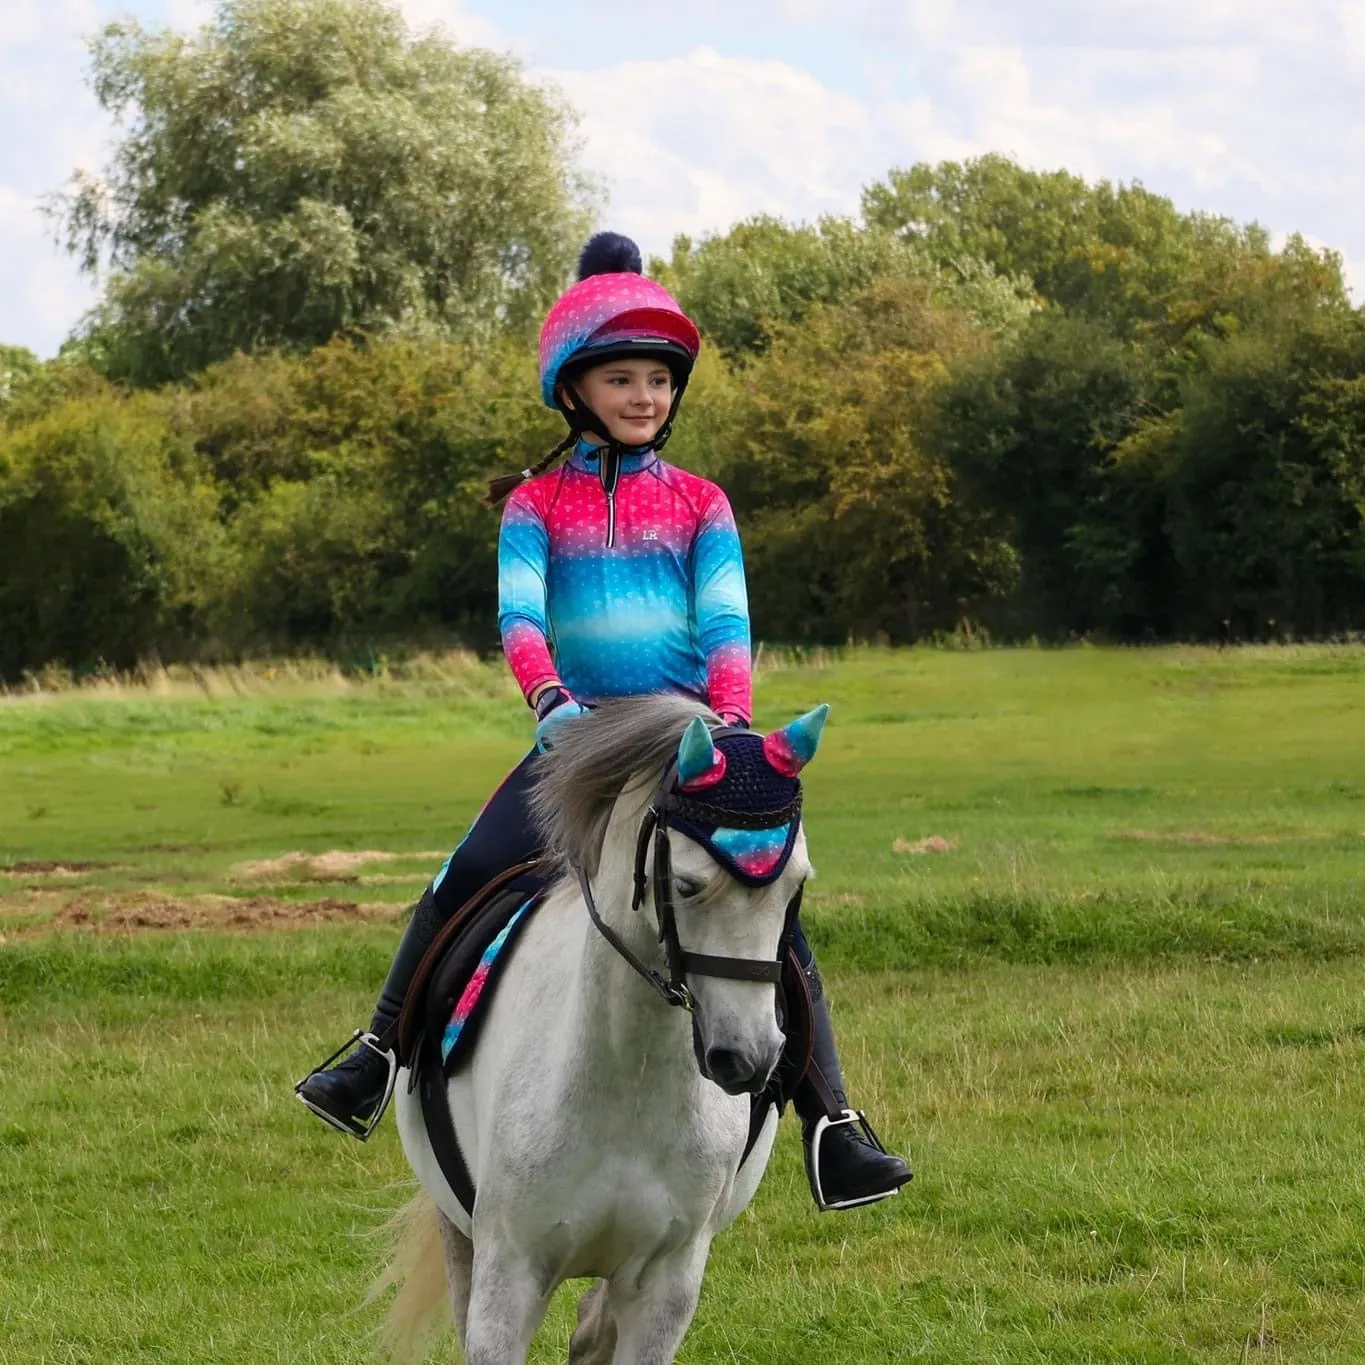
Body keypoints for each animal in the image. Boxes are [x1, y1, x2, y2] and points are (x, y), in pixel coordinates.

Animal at [387, 698, 829, 1359]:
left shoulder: (666, 1286)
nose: (748, 1056)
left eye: (796, 885)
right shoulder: (508, 1276)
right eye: (687, 886)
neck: (627, 1083)